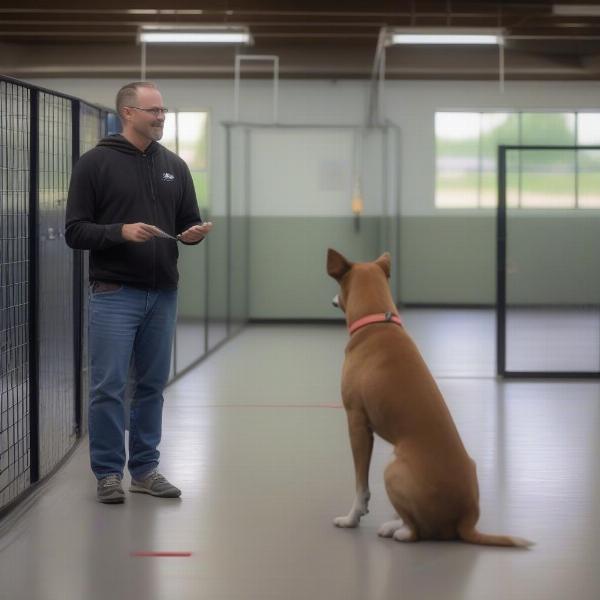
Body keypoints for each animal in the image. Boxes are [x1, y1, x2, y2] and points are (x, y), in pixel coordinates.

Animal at [328, 248, 528, 548]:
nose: (332, 299)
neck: (377, 322)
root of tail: (466, 520)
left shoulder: (357, 424)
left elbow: (361, 486)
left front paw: (351, 518)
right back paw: (395, 523)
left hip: (392, 469)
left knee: (415, 531)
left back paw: (397, 530)